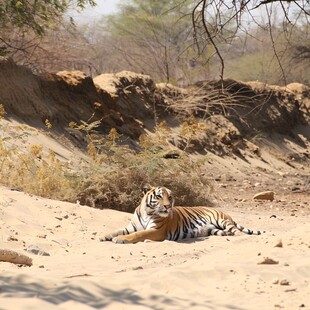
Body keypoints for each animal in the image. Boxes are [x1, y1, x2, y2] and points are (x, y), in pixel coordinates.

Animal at [100, 185, 264, 243]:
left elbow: (138, 235)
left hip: (222, 221)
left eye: (170, 197)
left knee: (237, 231)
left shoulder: (156, 230)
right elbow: (117, 230)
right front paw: (104, 236)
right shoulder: (132, 226)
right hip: (213, 229)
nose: (167, 206)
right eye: (159, 196)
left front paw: (121, 239)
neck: (148, 212)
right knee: (224, 232)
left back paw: (239, 237)